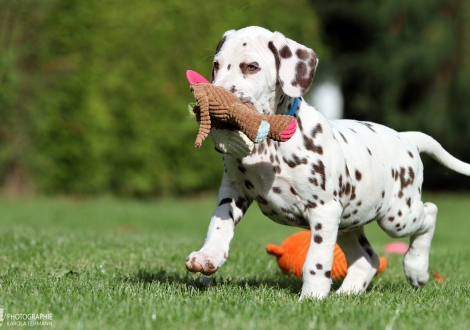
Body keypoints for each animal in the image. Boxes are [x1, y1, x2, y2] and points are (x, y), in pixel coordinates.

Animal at [185, 25, 468, 300]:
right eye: (216, 65)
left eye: (251, 67)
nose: (217, 97)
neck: (269, 145)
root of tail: (406, 138)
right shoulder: (234, 190)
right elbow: (219, 224)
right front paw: (208, 256)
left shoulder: (324, 210)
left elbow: (316, 260)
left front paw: (311, 297)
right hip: (348, 223)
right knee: (367, 259)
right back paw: (346, 294)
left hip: (397, 215)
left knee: (429, 213)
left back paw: (416, 269)